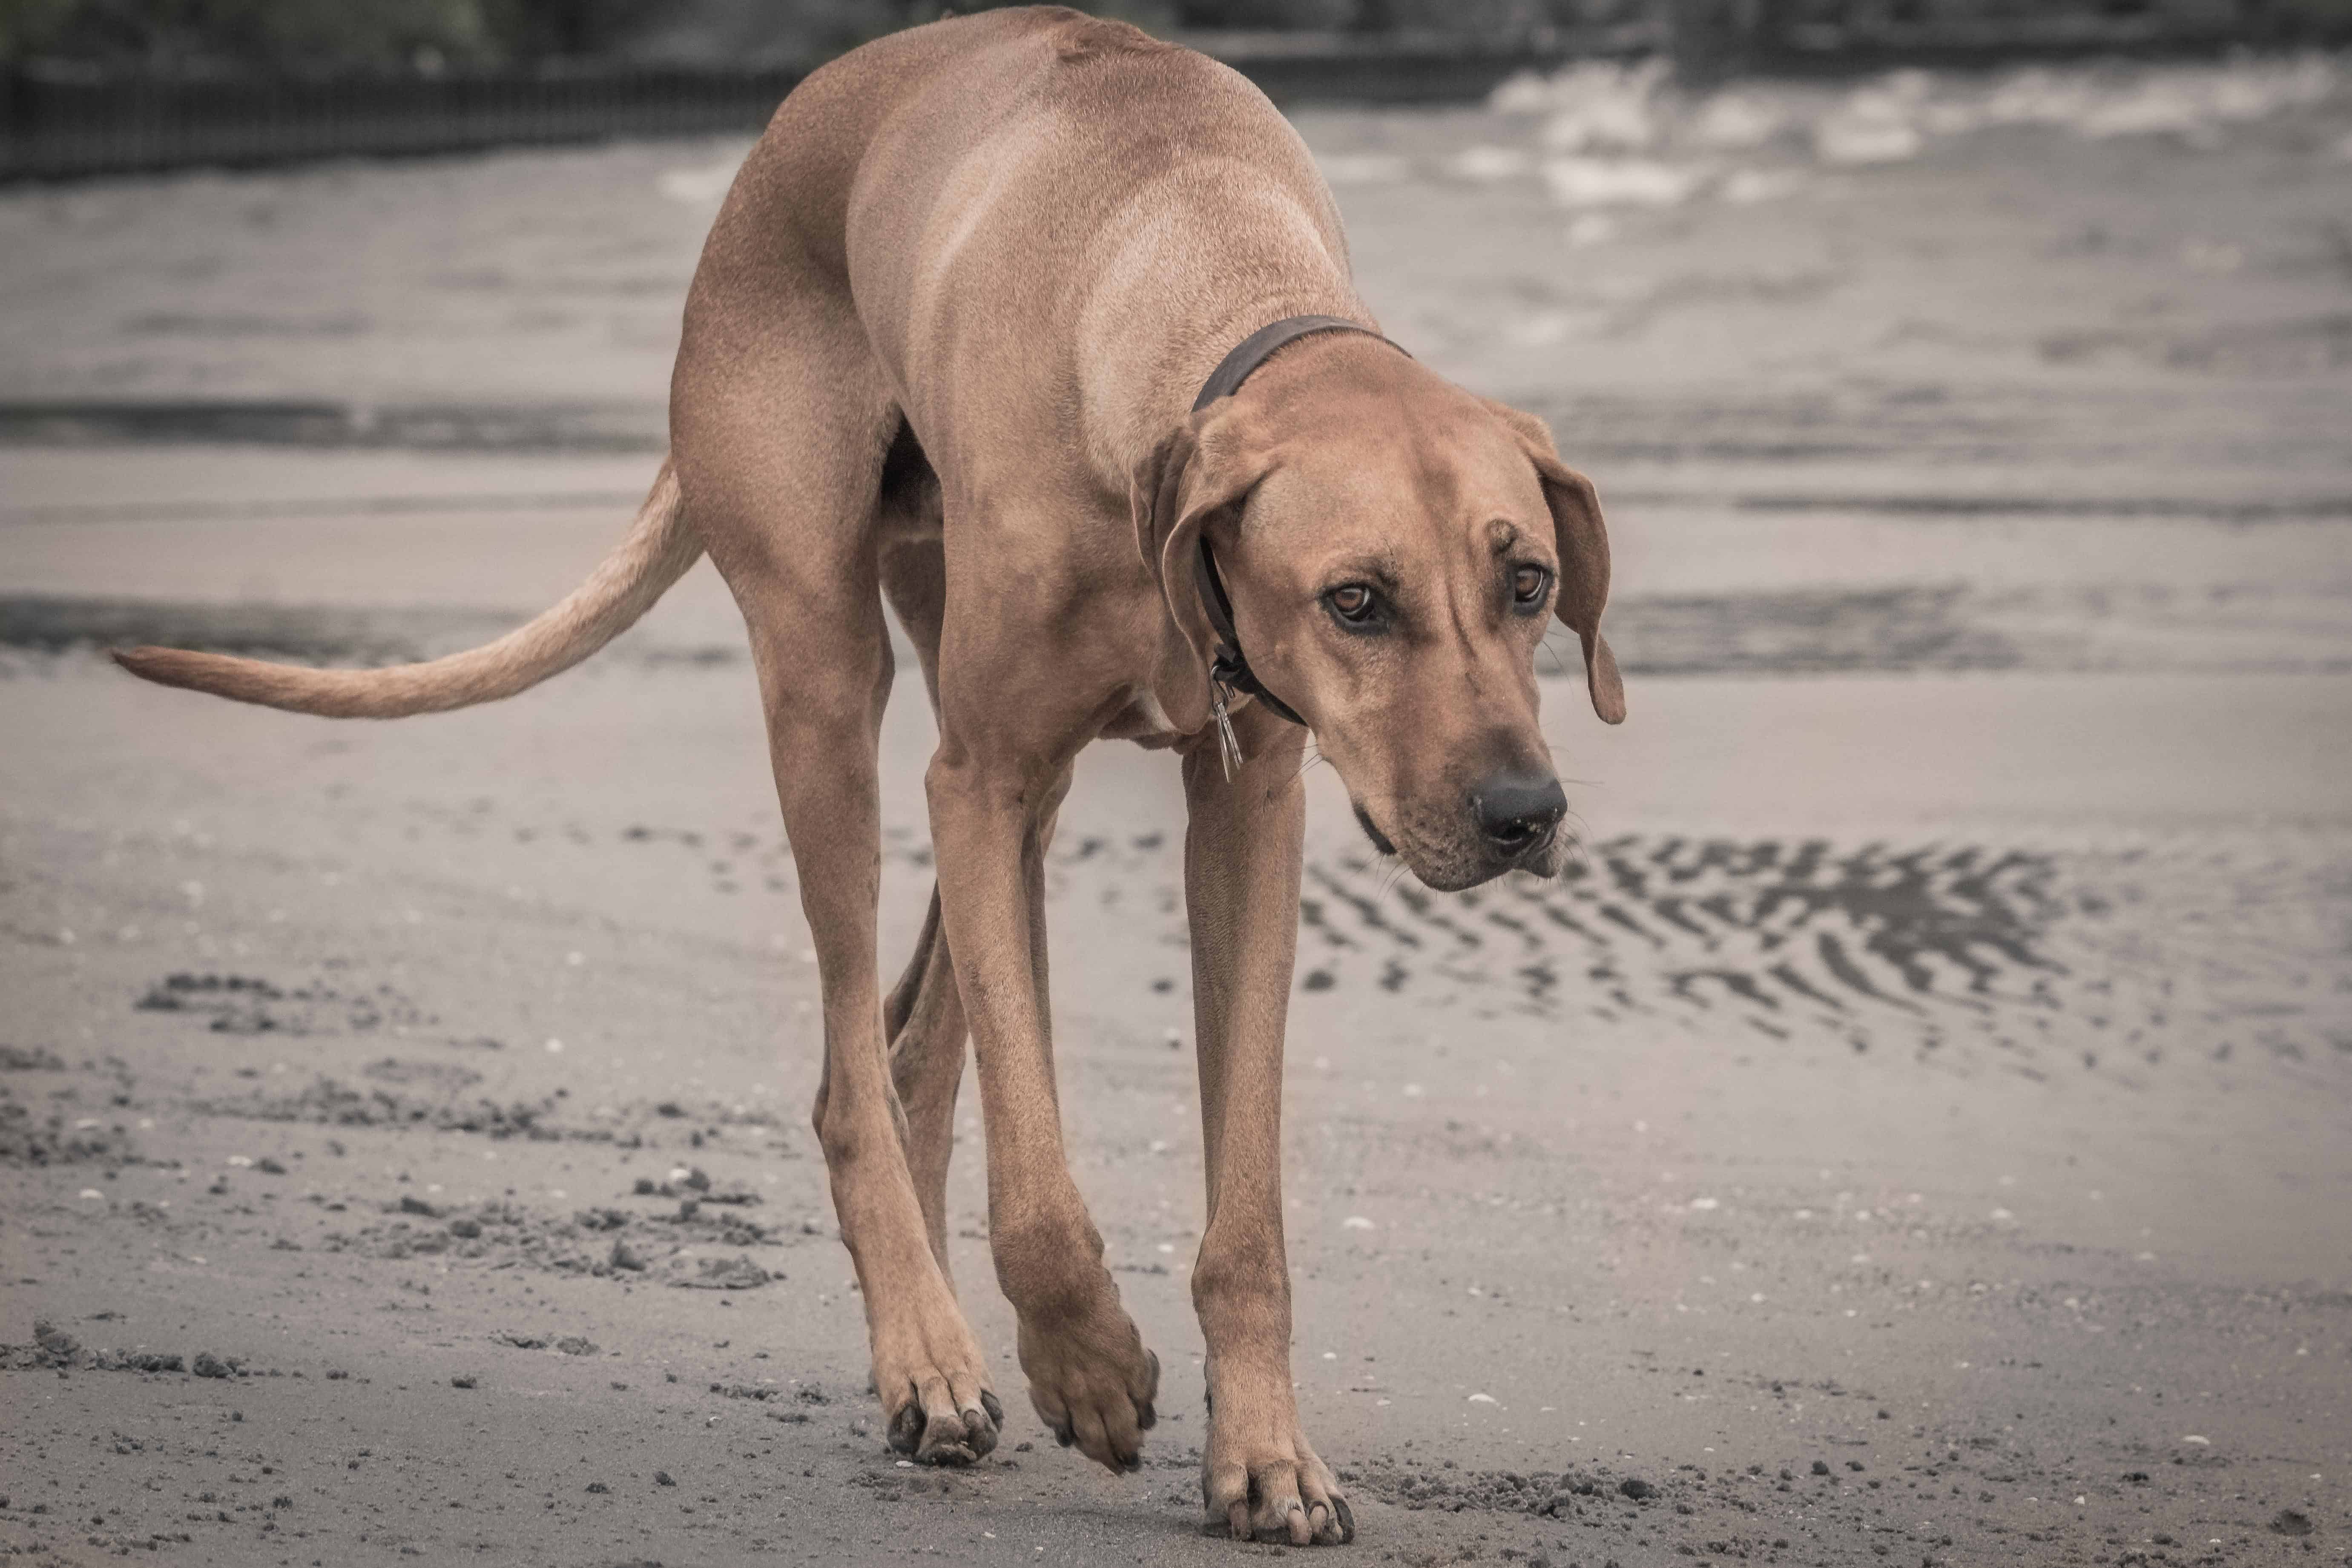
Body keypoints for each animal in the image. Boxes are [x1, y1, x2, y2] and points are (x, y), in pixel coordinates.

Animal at [115, 3, 1618, 1542]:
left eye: (1528, 584)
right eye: (1355, 600)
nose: (1524, 814)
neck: (1187, 260)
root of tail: (769, 153)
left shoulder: (1249, 800)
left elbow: (1241, 1203)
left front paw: (1260, 1449)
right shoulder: (985, 773)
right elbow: (1037, 1191)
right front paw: (1086, 1365)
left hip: (995, 739)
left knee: (914, 1049)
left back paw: (943, 1333)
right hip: (831, 681)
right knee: (854, 1072)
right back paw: (932, 1359)